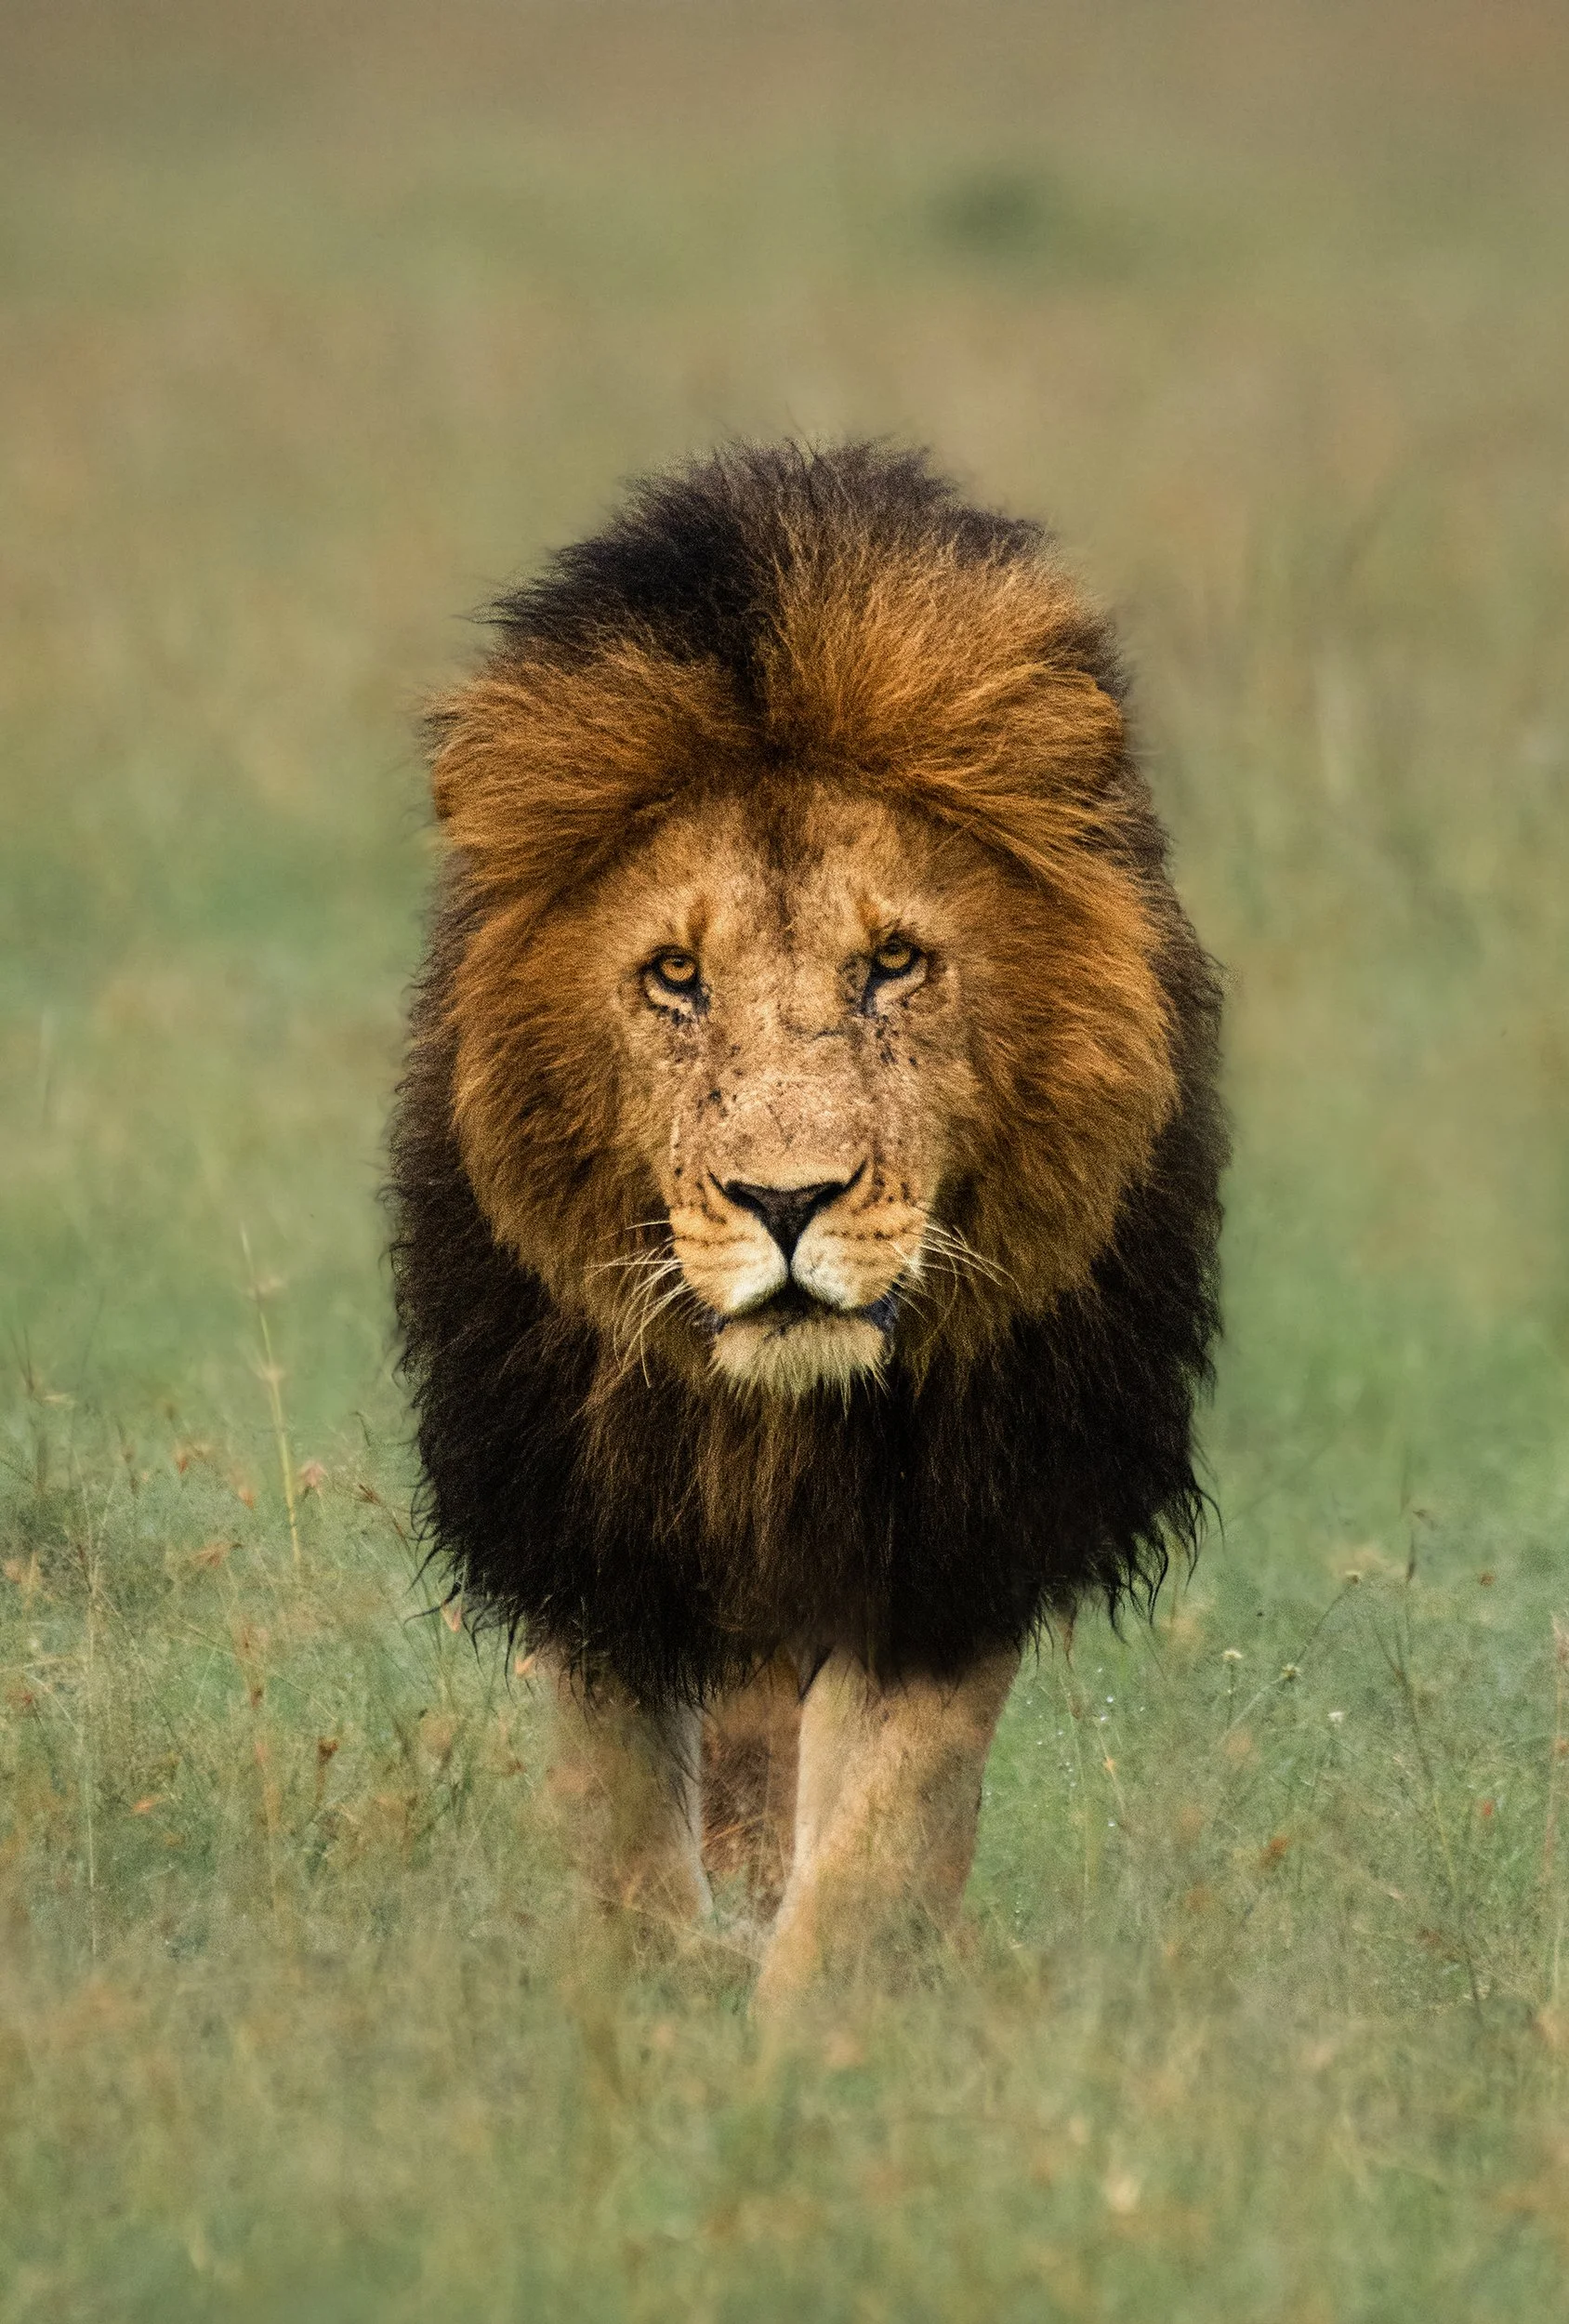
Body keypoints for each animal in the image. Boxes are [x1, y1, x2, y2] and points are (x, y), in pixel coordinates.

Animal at [389, 442, 1225, 2005]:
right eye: (674, 977)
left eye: (893, 964)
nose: (787, 1202)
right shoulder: (586, 1516)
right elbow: (614, 1808)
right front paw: (653, 2004)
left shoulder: (959, 1531)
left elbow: (889, 1829)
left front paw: (816, 2036)